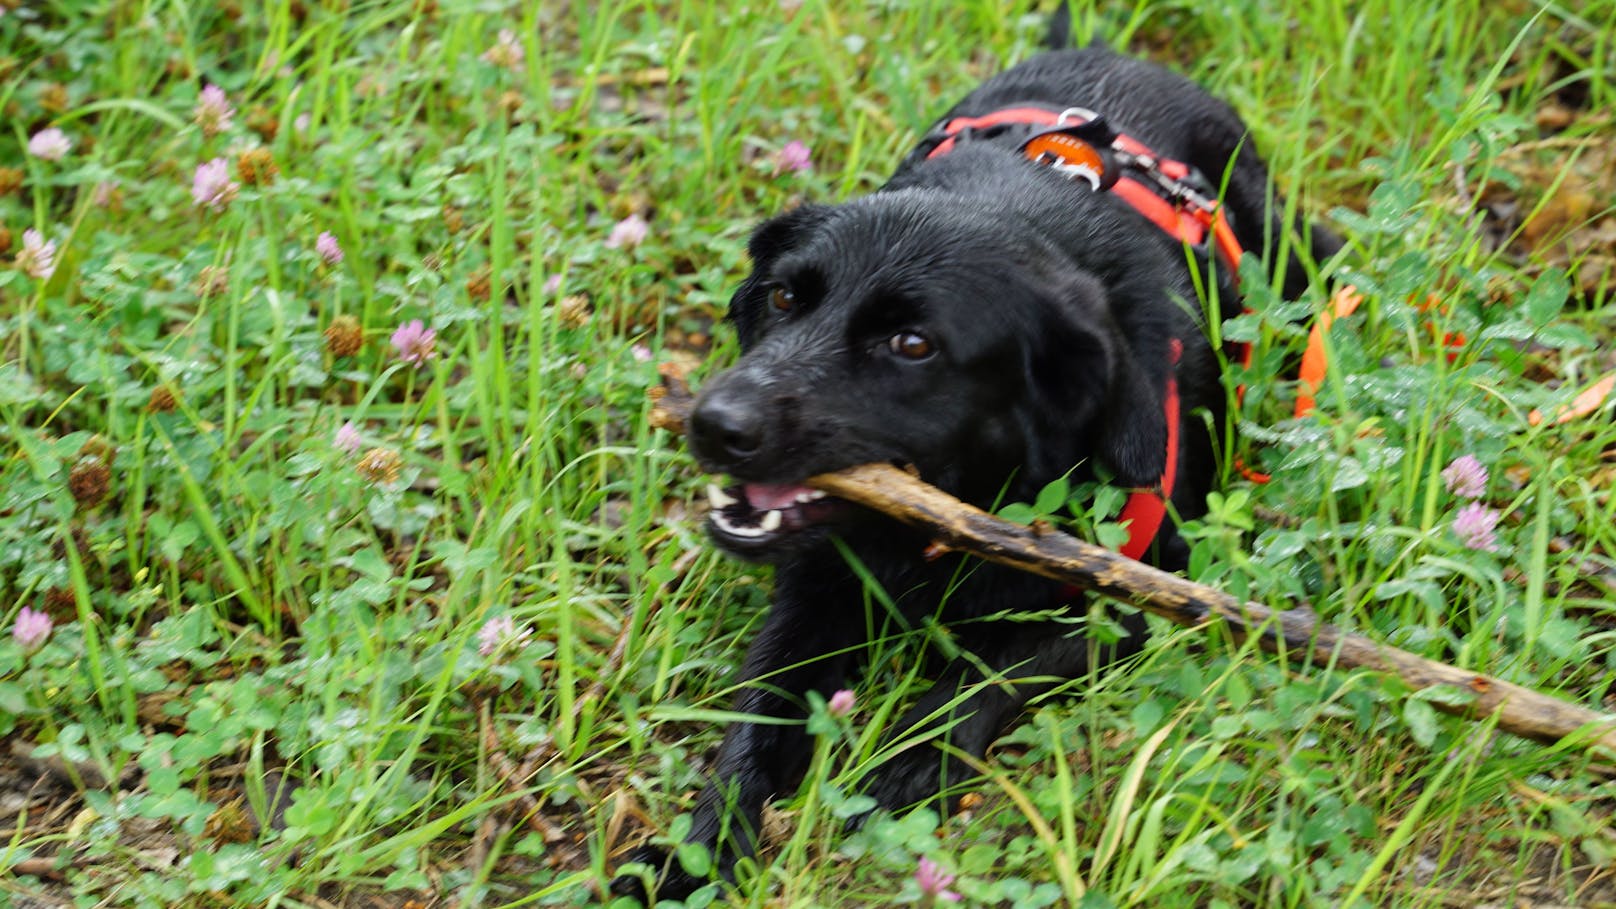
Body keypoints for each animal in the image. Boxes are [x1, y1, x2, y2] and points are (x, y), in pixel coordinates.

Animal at [607, 35, 1338, 899]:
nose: (717, 424)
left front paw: (908, 756)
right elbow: (759, 712)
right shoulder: (814, 585)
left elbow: (995, 670)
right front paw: (697, 852)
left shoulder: (1138, 592)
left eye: (912, 343)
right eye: (784, 297)